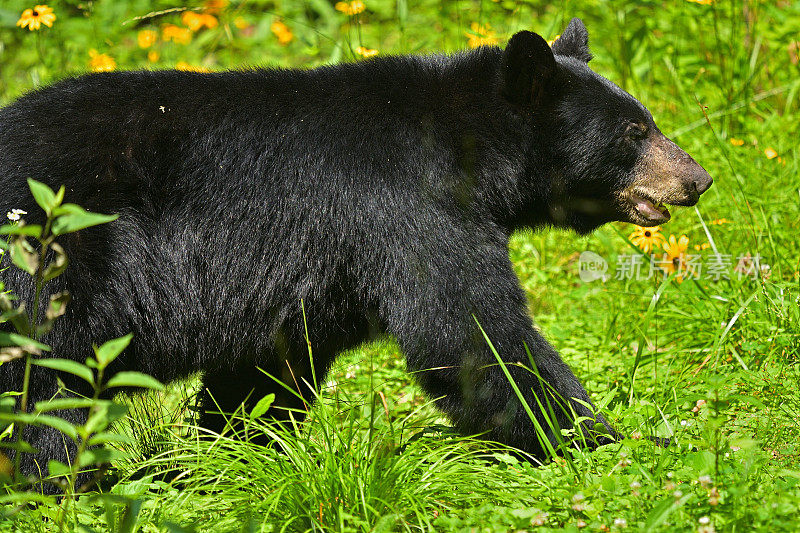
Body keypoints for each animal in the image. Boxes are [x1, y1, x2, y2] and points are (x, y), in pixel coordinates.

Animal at [0, 18, 712, 486]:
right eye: (635, 130)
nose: (698, 178)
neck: (471, 148)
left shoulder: (315, 276)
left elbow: (266, 370)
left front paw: (229, 460)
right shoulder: (408, 208)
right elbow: (472, 336)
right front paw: (609, 446)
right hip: (43, 261)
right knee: (43, 399)